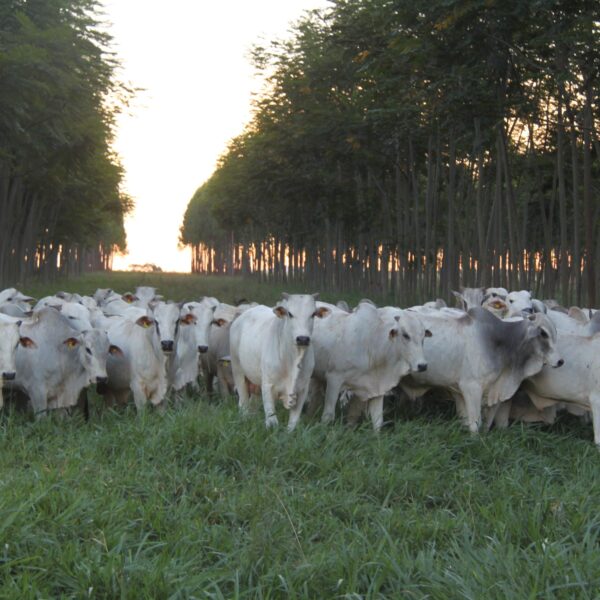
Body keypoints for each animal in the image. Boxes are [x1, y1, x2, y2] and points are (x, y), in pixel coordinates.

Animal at [230, 292, 328, 428]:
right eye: (290, 314)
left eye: (313, 314)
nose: (303, 339)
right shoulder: (267, 385)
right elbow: (272, 421)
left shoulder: (303, 389)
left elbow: (293, 423)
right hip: (238, 371)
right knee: (243, 402)